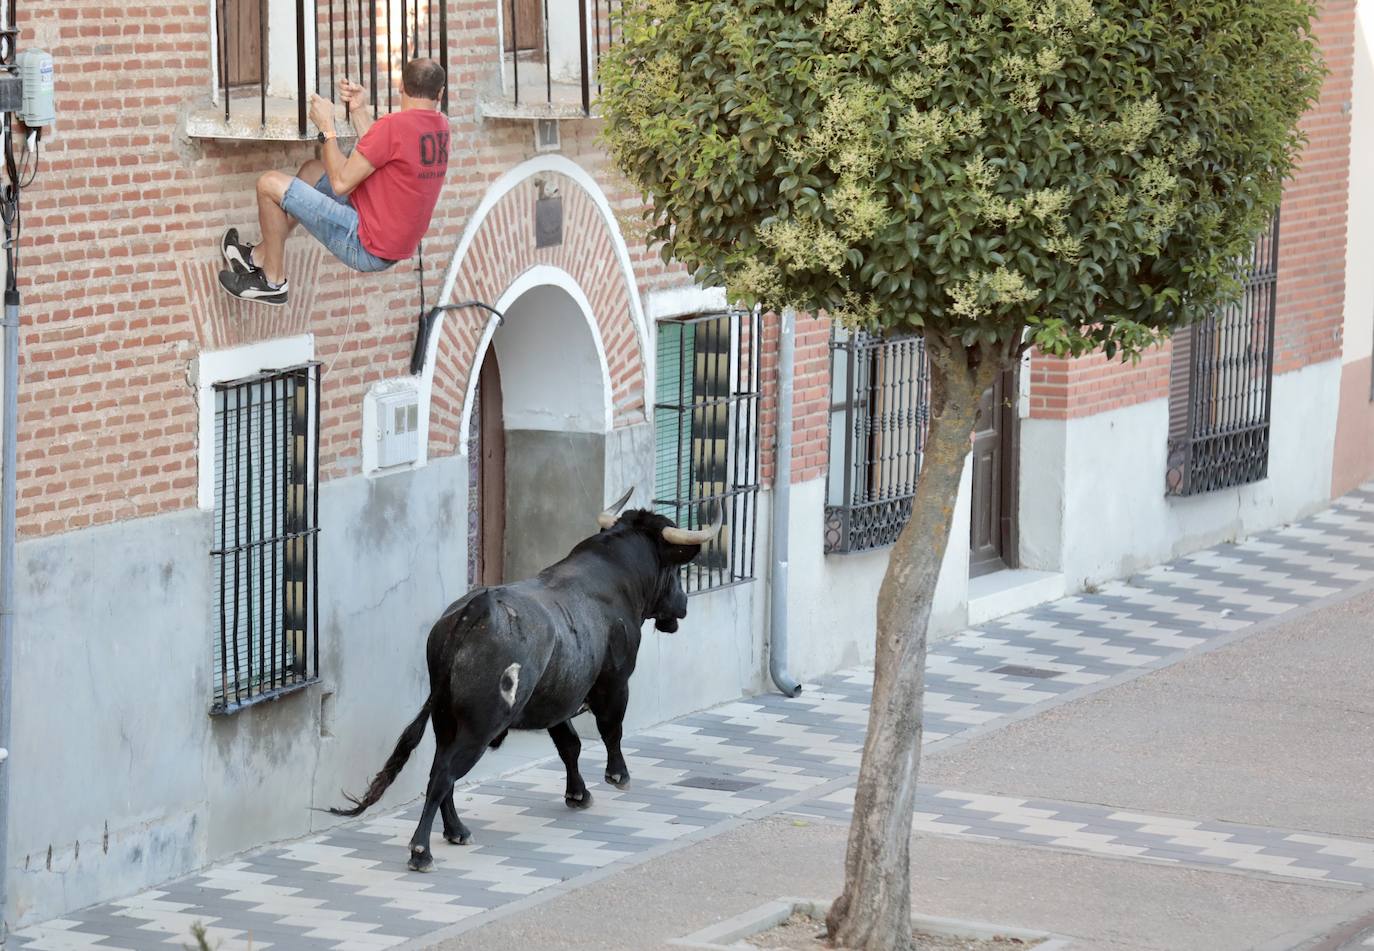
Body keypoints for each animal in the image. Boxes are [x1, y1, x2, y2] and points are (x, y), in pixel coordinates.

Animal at [331, 494, 719, 874]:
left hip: (446, 720)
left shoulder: (557, 696)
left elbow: (569, 745)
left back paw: (456, 831)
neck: (612, 577)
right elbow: (611, 729)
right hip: (479, 727)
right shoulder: (615, 680)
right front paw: (617, 775)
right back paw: (421, 851)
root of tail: (475, 611)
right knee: (443, 774)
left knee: (442, 771)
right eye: (674, 569)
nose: (683, 604)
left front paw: (578, 794)